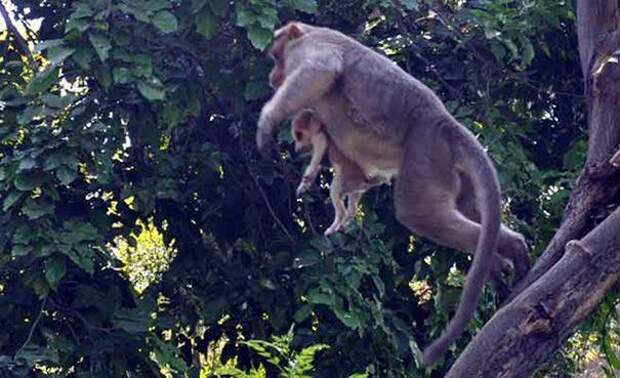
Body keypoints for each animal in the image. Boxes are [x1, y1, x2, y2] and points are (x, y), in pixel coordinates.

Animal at [254, 22, 532, 364]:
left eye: (276, 57)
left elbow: (323, 70)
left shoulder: (312, 47)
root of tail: (445, 123)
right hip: (451, 168)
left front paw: (267, 123)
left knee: (419, 212)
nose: (273, 77)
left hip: (425, 151)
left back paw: (510, 251)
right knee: (470, 210)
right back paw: (500, 260)